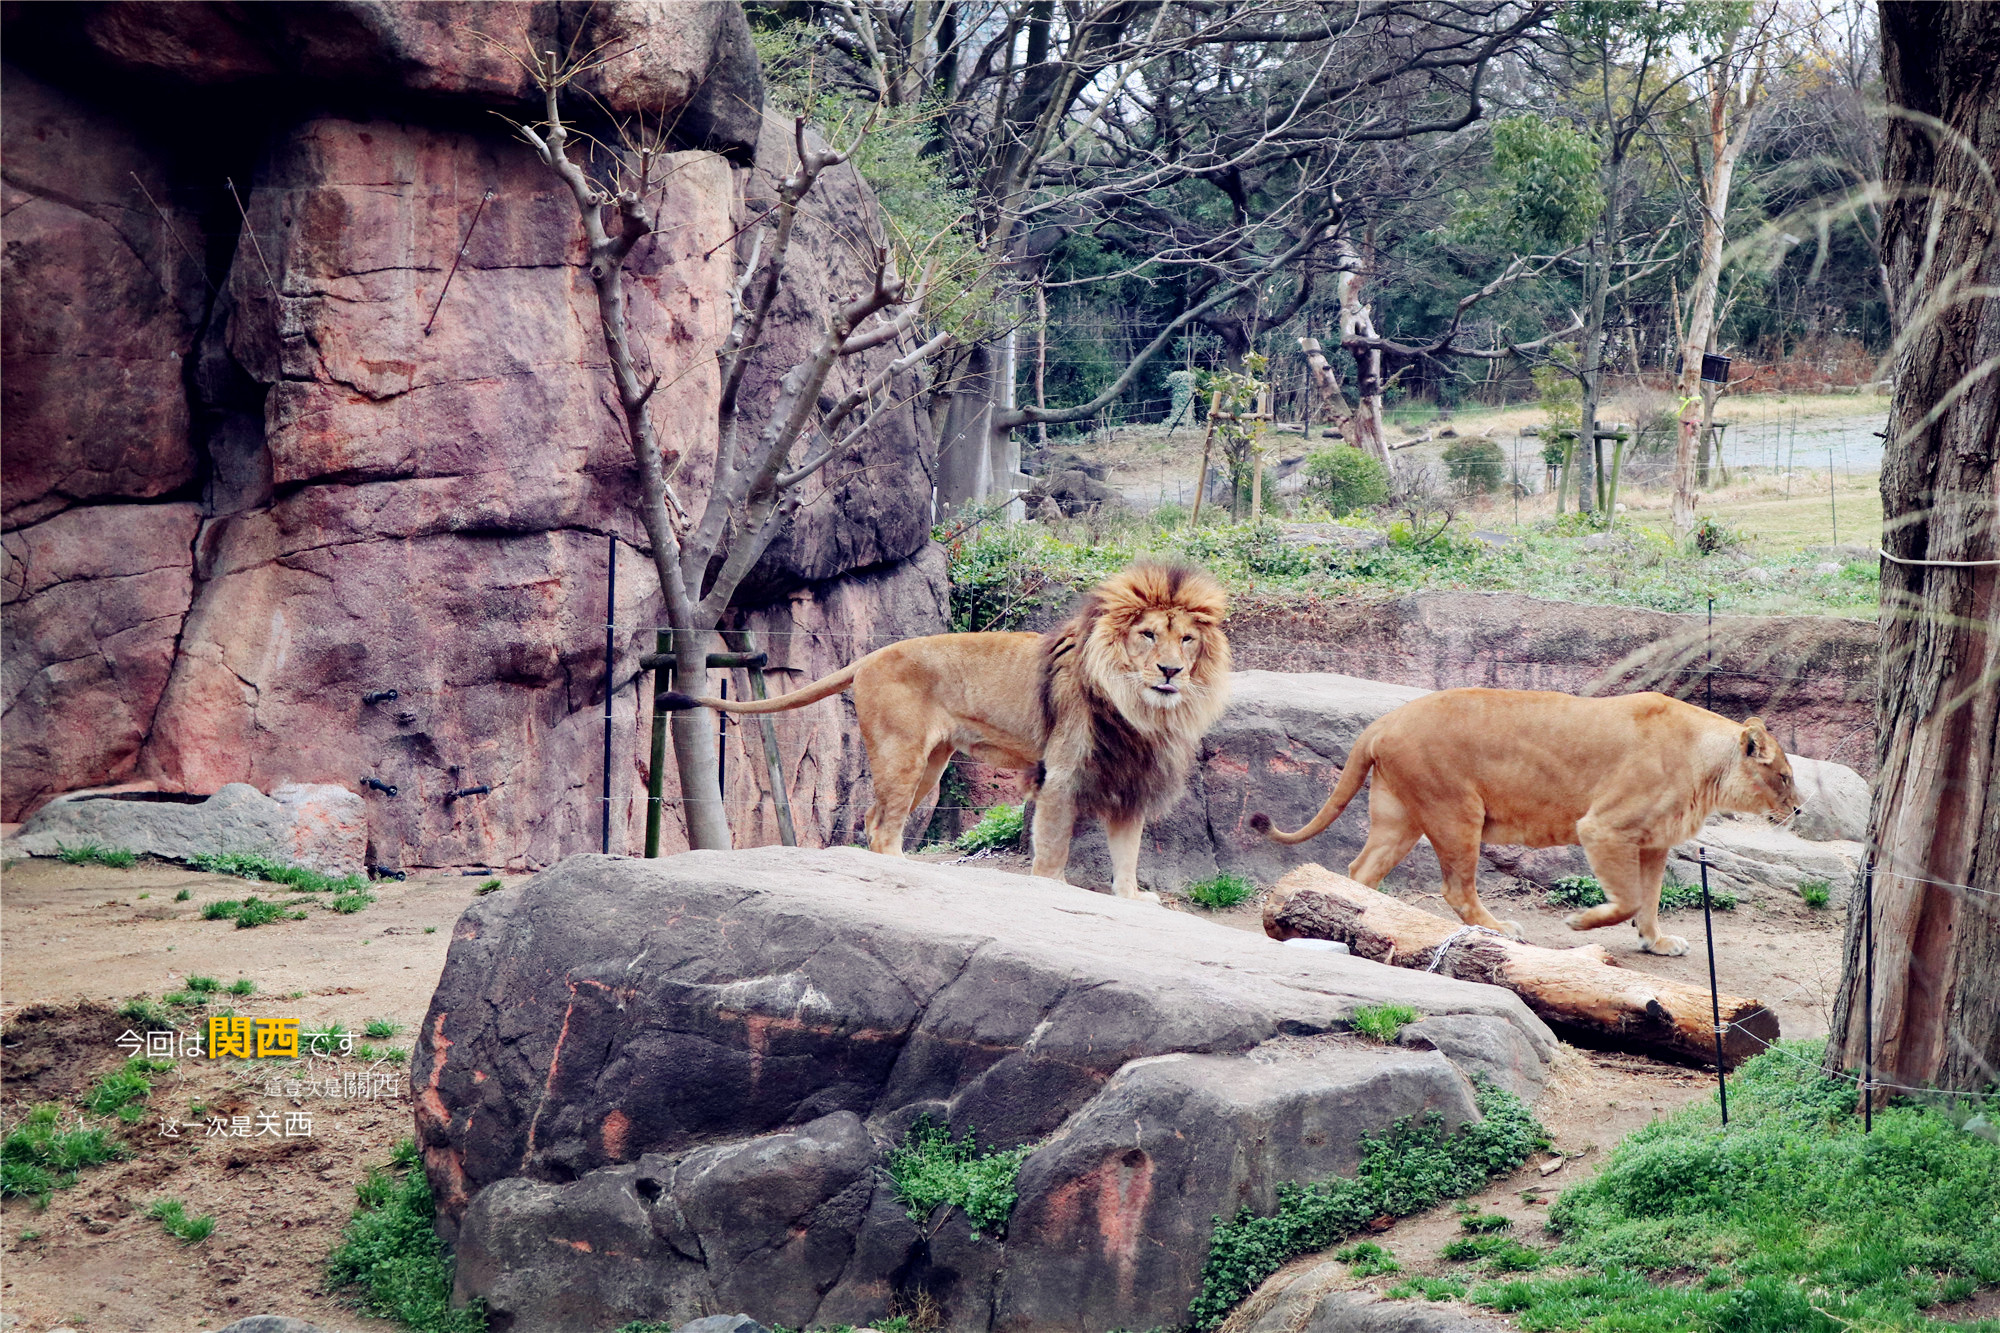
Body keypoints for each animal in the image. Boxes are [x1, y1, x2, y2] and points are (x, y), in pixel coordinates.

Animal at [664, 560, 1224, 904]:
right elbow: (1052, 849)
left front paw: (1132, 898)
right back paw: (903, 871)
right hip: (902, 753)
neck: (1142, 708)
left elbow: (1128, 853)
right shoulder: (1061, 774)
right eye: (1147, 635)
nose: (1171, 671)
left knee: (874, 818)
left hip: (930, 767)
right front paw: (1051, 889)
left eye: (1187, 639)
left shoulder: (1132, 783)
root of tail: (869, 656)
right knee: (882, 828)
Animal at [1248, 684, 1800, 956]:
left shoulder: (1653, 843)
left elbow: (1648, 901)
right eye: (1786, 775)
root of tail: (1383, 721)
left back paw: (1361, 921)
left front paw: (1656, 943)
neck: (1706, 764)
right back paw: (1499, 930)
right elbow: (1626, 900)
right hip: (1456, 810)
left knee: (1359, 872)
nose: (1799, 810)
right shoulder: (1603, 827)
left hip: (1398, 816)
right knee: (1456, 888)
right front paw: (1580, 922)